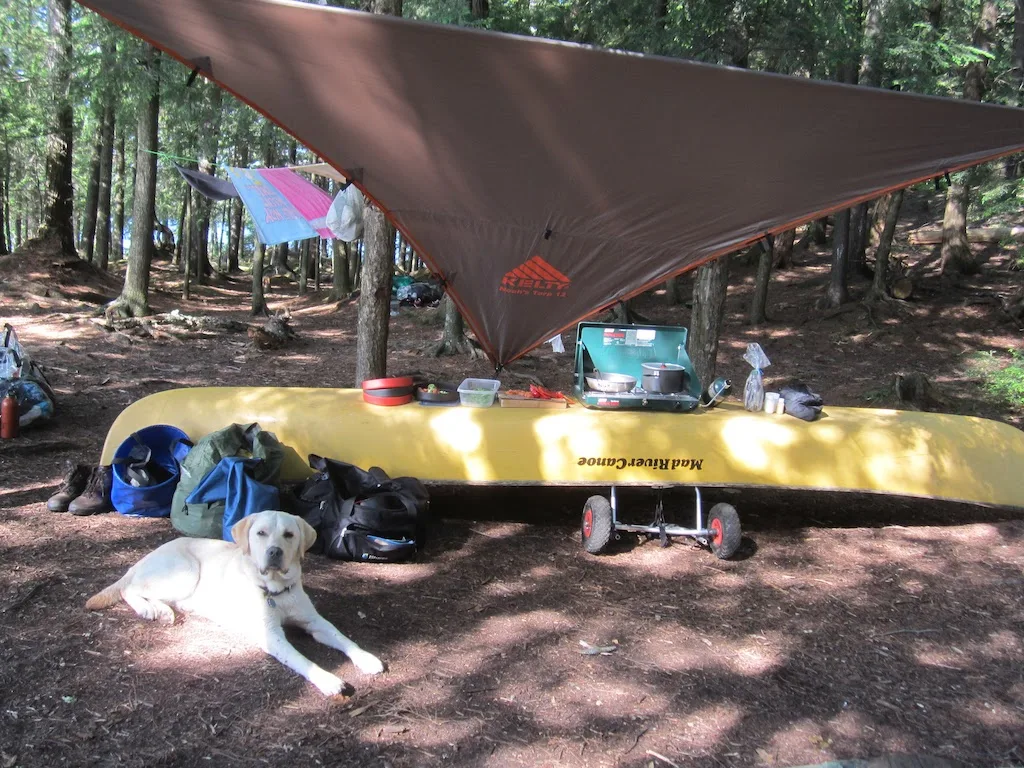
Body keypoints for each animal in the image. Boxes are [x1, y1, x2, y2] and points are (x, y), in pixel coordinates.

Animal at [86, 512, 385, 696]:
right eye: (261, 533)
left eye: (289, 534)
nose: (274, 552)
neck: (275, 591)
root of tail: (146, 556)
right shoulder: (271, 636)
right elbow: (302, 660)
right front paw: (328, 680)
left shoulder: (314, 621)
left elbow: (342, 637)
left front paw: (367, 658)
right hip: (185, 573)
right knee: (129, 588)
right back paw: (150, 608)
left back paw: (165, 610)